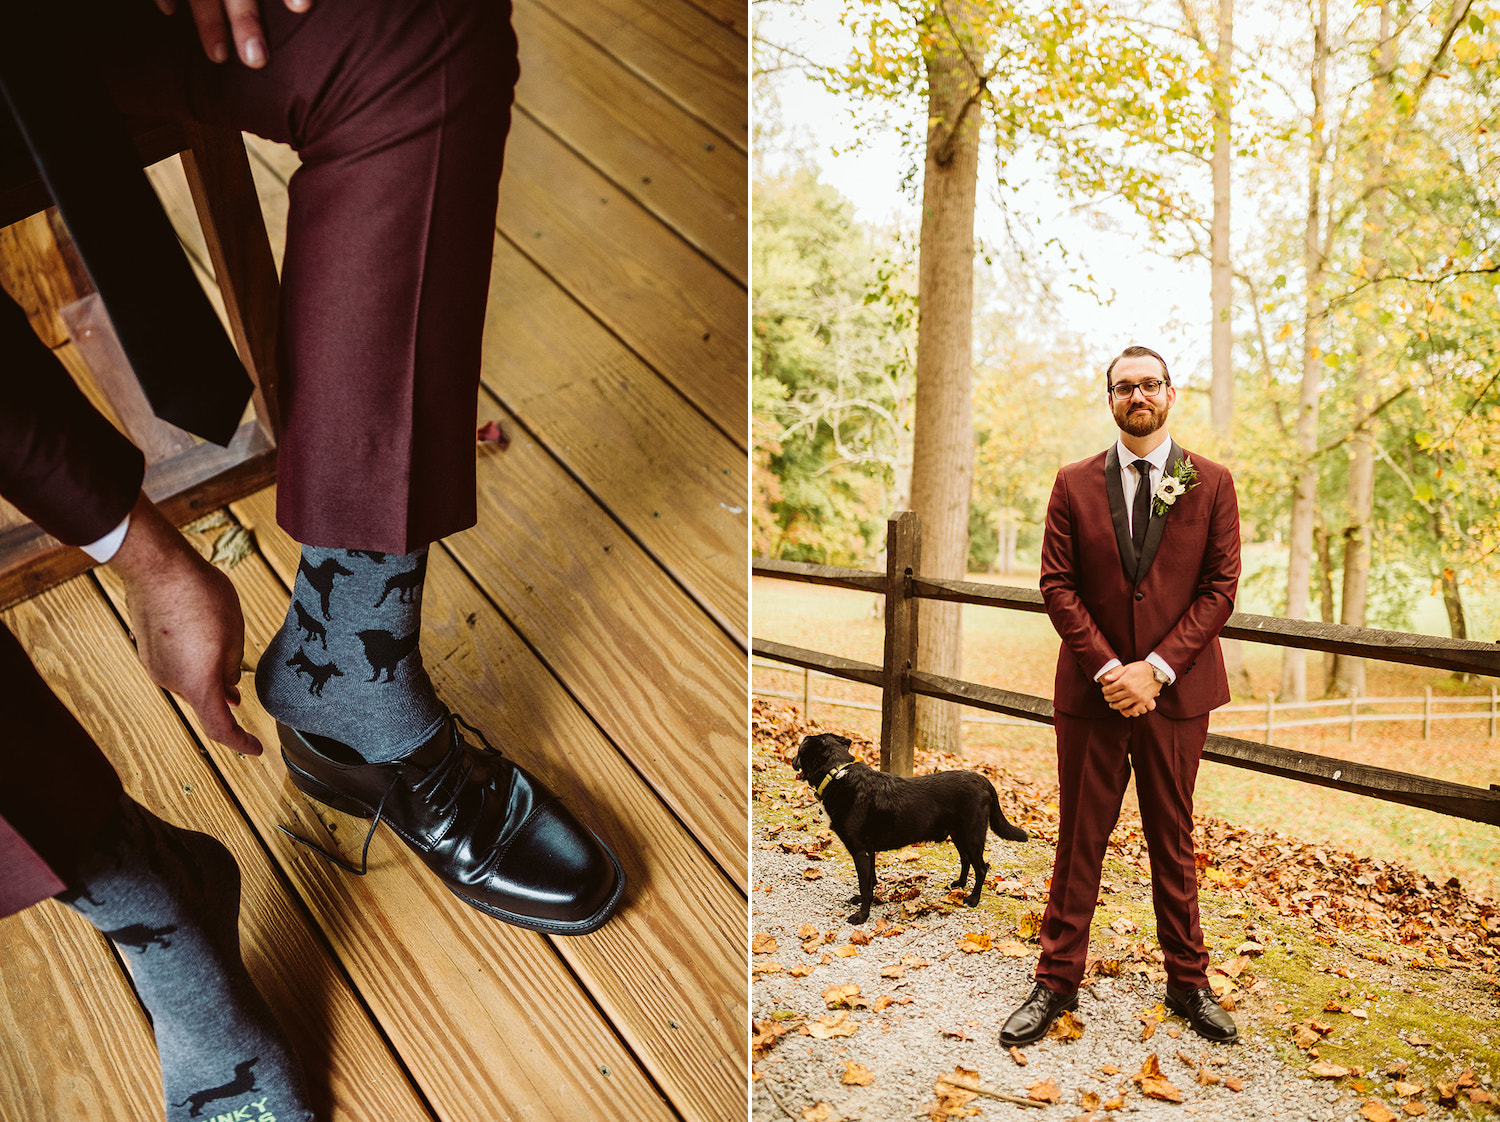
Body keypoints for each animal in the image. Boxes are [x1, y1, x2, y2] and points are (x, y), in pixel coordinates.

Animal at [798, 732, 1032, 924]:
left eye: (799, 751)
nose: (792, 759)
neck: (836, 774)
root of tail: (983, 779)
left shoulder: (861, 852)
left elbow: (865, 886)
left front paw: (862, 916)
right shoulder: (869, 851)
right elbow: (871, 881)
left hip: (972, 835)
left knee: (982, 868)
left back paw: (973, 899)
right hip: (959, 834)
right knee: (966, 860)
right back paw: (959, 884)